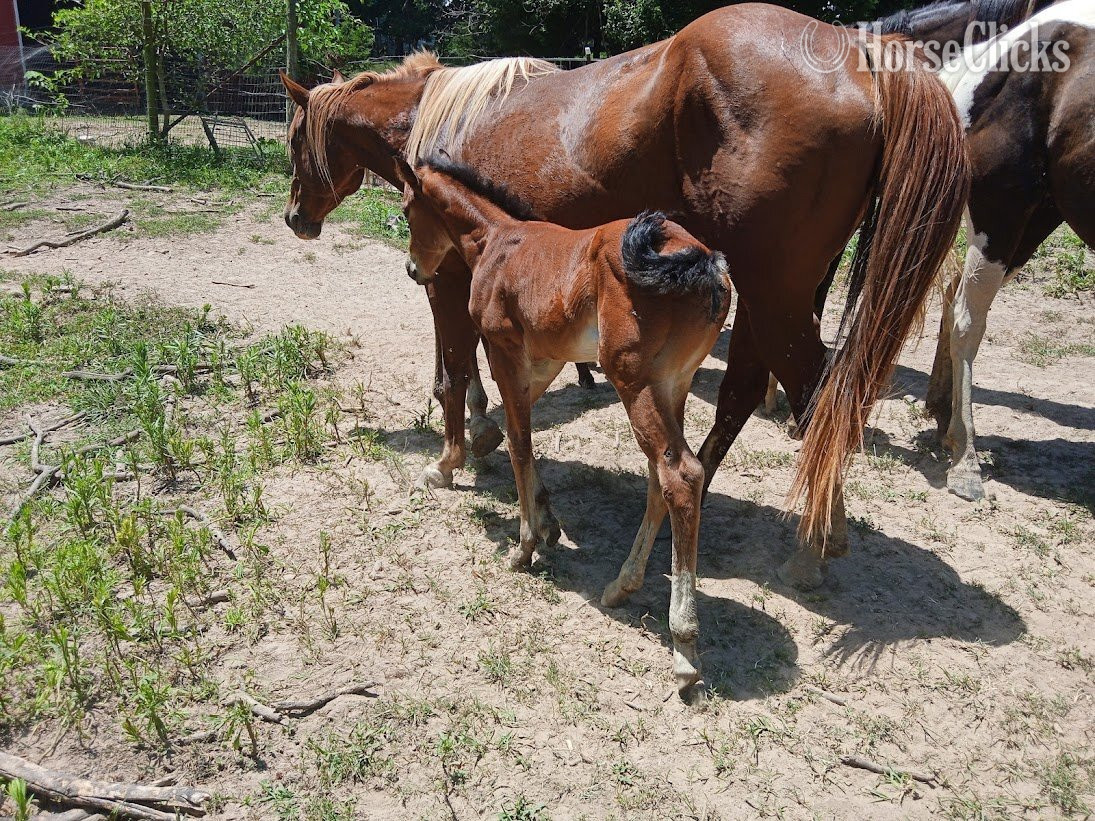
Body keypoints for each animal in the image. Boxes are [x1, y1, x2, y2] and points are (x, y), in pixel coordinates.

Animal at [280, 2, 969, 595]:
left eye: (292, 139)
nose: (294, 219)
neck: (434, 116)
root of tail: (860, 54)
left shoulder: (446, 277)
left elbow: (451, 370)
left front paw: (451, 459)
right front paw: (487, 437)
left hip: (776, 297)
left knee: (813, 395)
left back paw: (808, 546)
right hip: (765, 296)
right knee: (743, 397)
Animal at [394, 156, 730, 689]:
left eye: (409, 209)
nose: (413, 270)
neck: (495, 240)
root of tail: (704, 261)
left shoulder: (503, 350)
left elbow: (518, 442)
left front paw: (524, 545)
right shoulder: (545, 359)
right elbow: (520, 435)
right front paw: (547, 522)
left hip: (634, 382)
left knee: (680, 476)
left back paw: (683, 645)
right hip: (672, 385)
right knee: (661, 477)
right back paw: (620, 585)